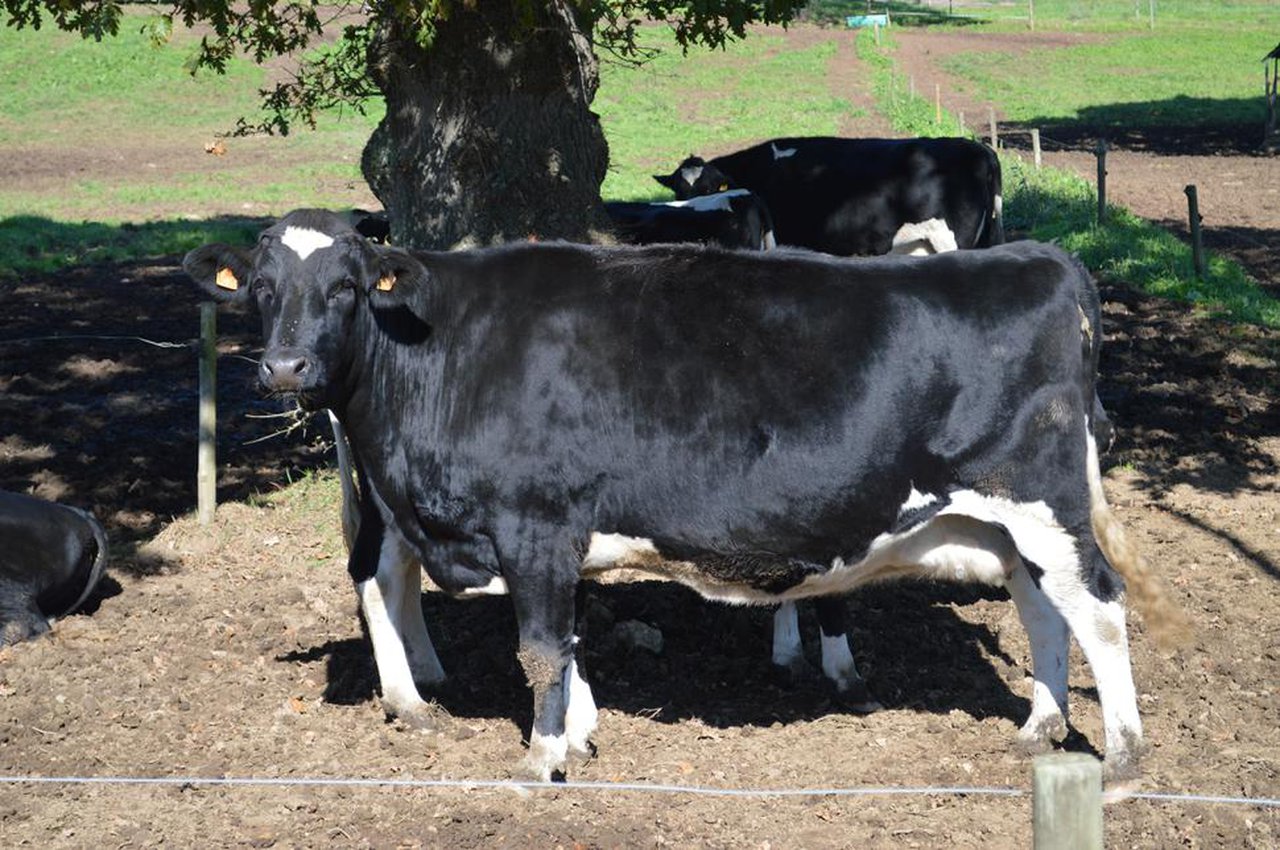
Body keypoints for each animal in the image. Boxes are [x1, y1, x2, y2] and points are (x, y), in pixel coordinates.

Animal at [186, 209, 1182, 782]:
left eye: (345, 287)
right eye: (261, 291)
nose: (285, 366)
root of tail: (1042, 259)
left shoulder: (533, 521)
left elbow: (539, 648)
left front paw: (543, 759)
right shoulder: (552, 531)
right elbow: (564, 638)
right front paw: (577, 735)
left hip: (1038, 495)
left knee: (1098, 607)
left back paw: (1124, 753)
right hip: (1007, 519)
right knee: (1043, 608)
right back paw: (1041, 728)